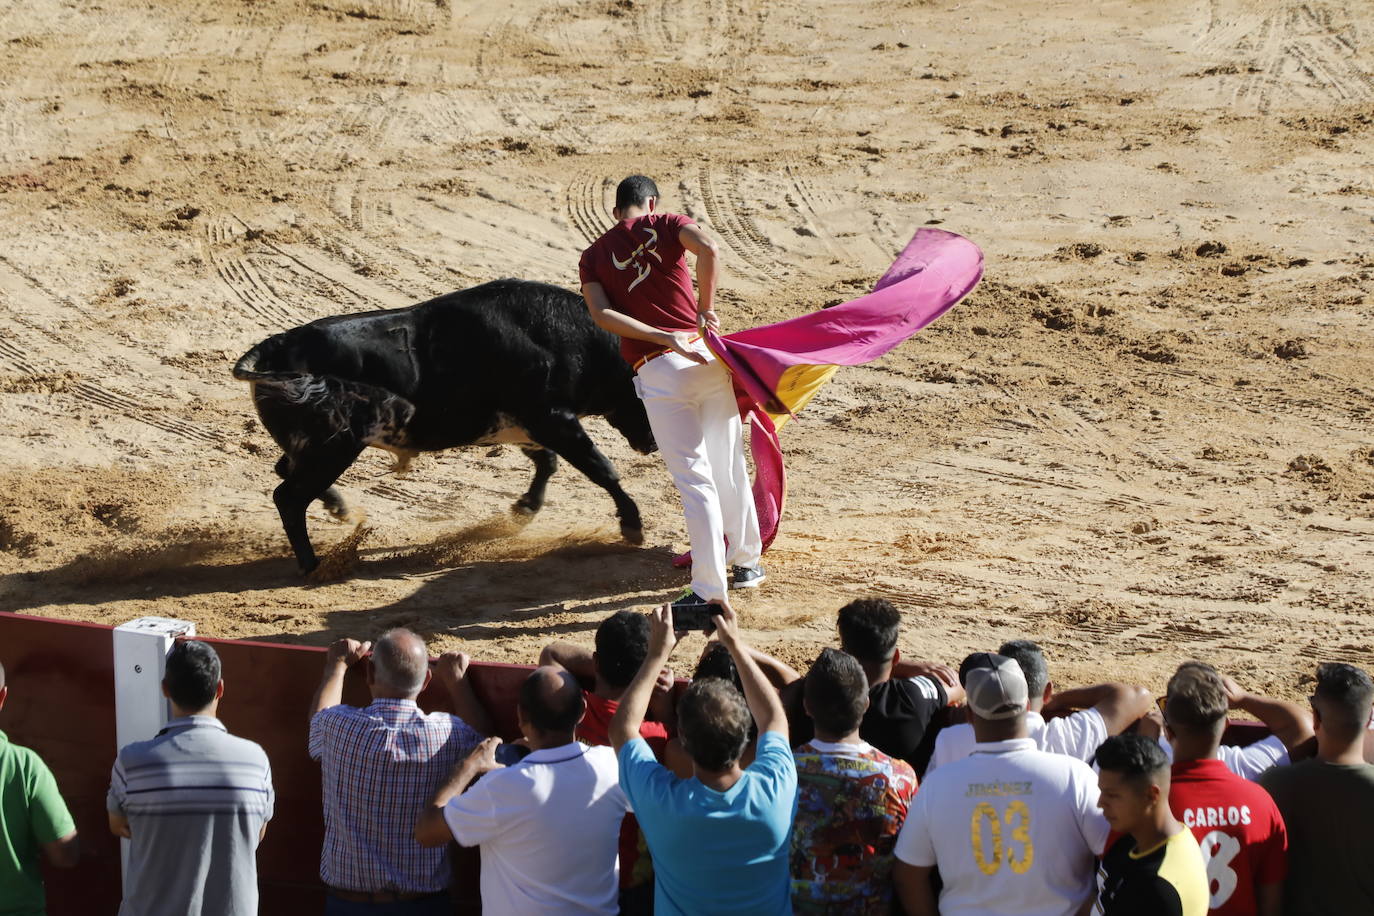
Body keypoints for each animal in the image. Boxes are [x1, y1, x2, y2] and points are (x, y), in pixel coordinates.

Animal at [232, 277, 659, 574]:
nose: (655, 444)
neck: (567, 338)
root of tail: (275, 345)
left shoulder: (533, 426)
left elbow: (548, 464)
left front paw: (523, 510)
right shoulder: (553, 419)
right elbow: (601, 468)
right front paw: (632, 526)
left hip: (316, 448)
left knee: (286, 474)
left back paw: (338, 509)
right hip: (334, 447)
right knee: (289, 496)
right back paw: (313, 565)